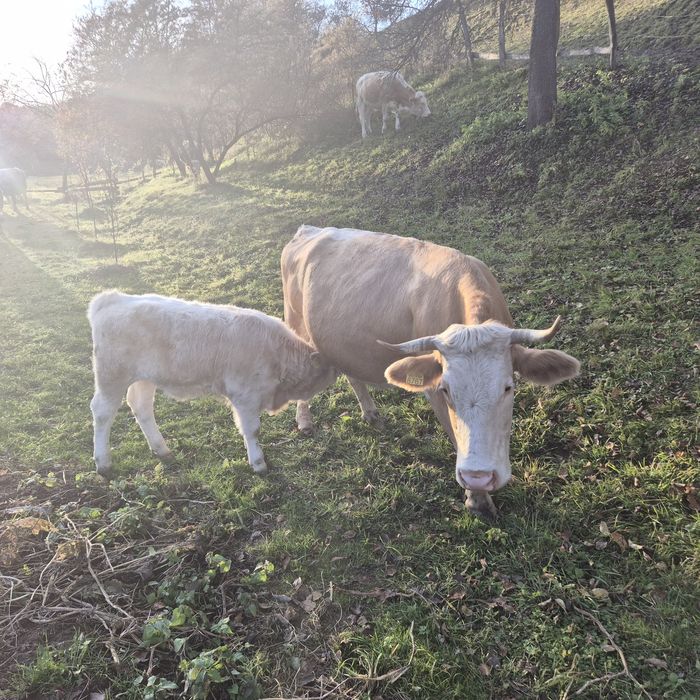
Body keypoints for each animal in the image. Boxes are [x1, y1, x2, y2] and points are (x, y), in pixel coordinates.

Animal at [88, 291, 336, 477]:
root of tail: (113, 298)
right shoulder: (244, 396)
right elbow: (252, 430)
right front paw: (258, 464)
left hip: (145, 378)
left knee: (141, 406)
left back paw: (162, 450)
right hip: (112, 375)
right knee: (102, 412)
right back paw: (103, 463)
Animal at [281, 226, 580, 519]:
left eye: (508, 387)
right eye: (446, 390)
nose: (479, 476)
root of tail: (308, 230)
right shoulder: (433, 391)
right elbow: (455, 434)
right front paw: (477, 499)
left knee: (353, 376)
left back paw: (370, 413)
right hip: (295, 323)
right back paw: (304, 420)